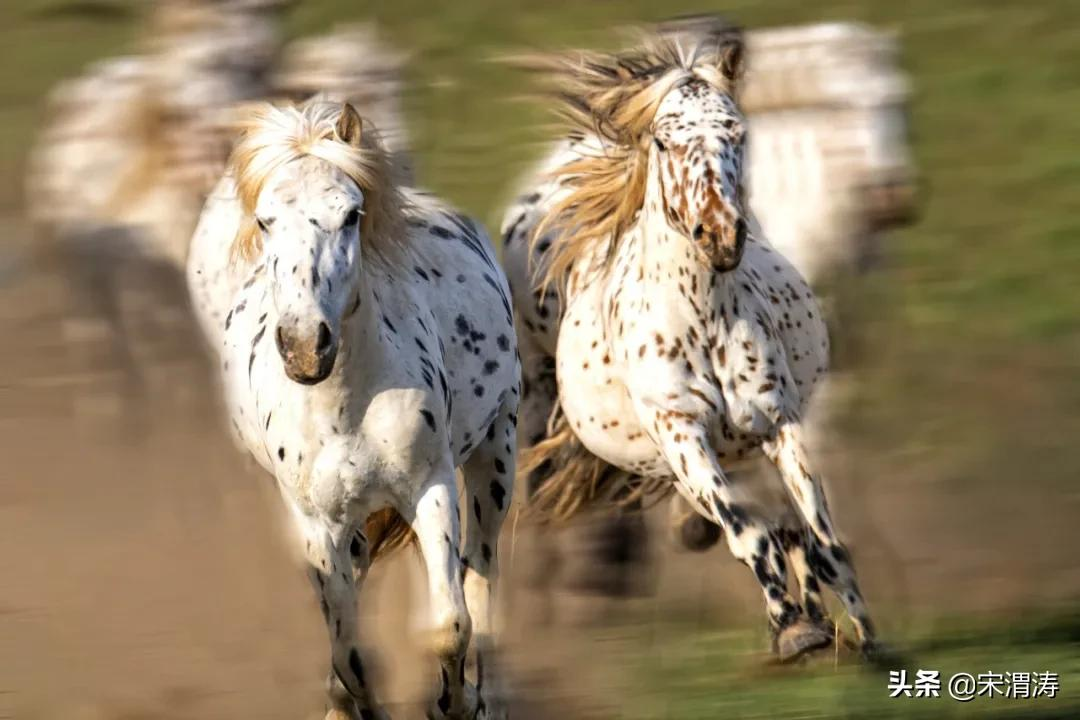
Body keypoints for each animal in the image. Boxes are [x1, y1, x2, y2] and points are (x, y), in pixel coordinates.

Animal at [185, 98, 518, 716]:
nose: (304, 344)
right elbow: (353, 657)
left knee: (482, 576)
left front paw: (455, 703)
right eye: (265, 221)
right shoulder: (317, 525)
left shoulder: (430, 488)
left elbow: (450, 624)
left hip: (496, 454)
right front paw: (352, 702)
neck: (345, 409)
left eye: (351, 215)